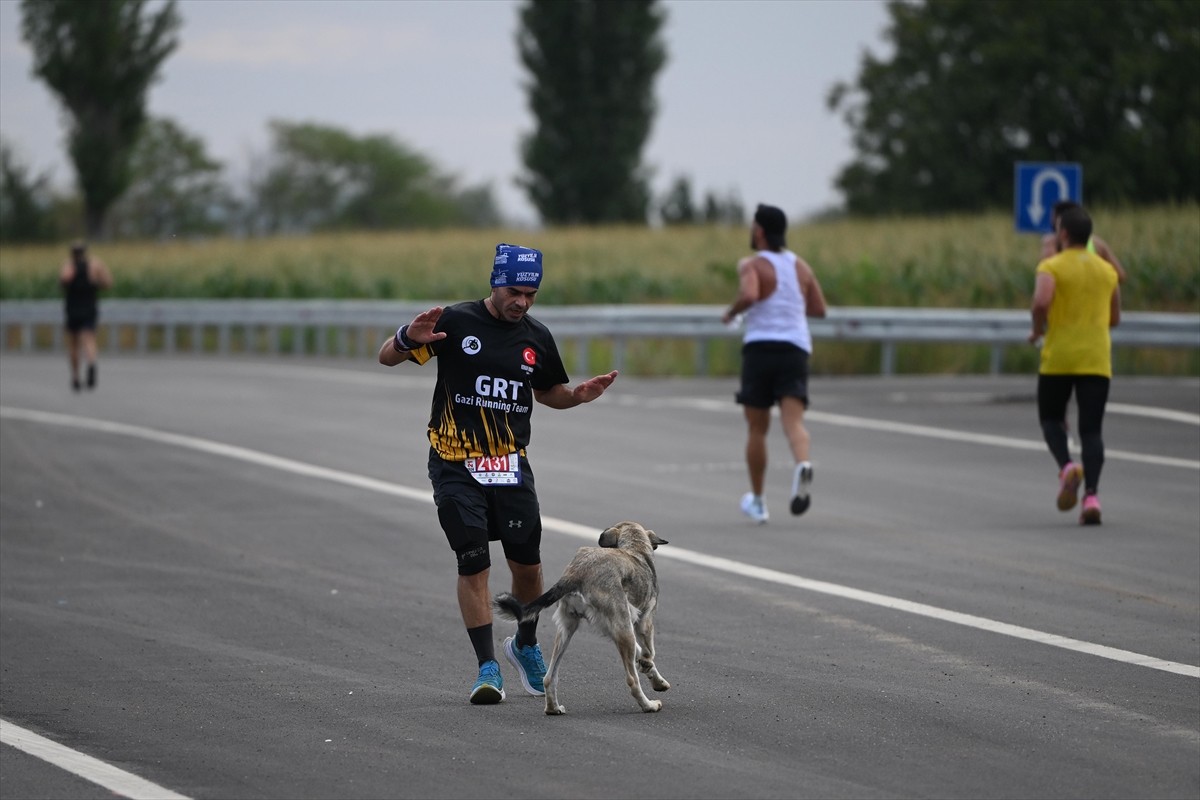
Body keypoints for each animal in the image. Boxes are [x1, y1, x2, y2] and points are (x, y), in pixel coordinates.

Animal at [492, 522, 672, 714]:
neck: (634, 548)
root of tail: (577, 573)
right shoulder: (642, 624)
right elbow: (649, 653)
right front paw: (647, 667)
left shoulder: (618, 632)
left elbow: (643, 655)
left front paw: (657, 679)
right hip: (624, 632)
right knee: (632, 680)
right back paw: (649, 705)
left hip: (568, 630)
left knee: (549, 678)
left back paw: (553, 708)